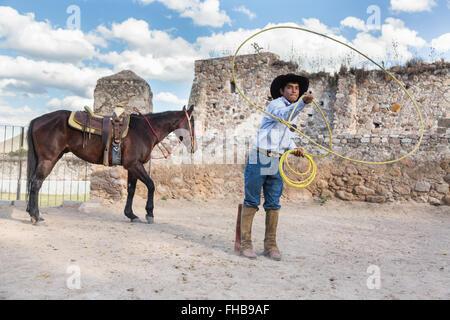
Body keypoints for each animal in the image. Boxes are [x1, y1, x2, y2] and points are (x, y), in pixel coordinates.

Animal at [26, 105, 195, 225]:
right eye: (192, 123)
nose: (194, 147)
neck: (144, 131)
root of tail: (36, 120)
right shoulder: (135, 165)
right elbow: (151, 185)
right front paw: (149, 213)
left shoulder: (132, 167)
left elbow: (131, 190)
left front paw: (131, 214)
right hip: (48, 160)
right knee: (36, 184)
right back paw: (36, 216)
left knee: (32, 183)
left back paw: (32, 213)